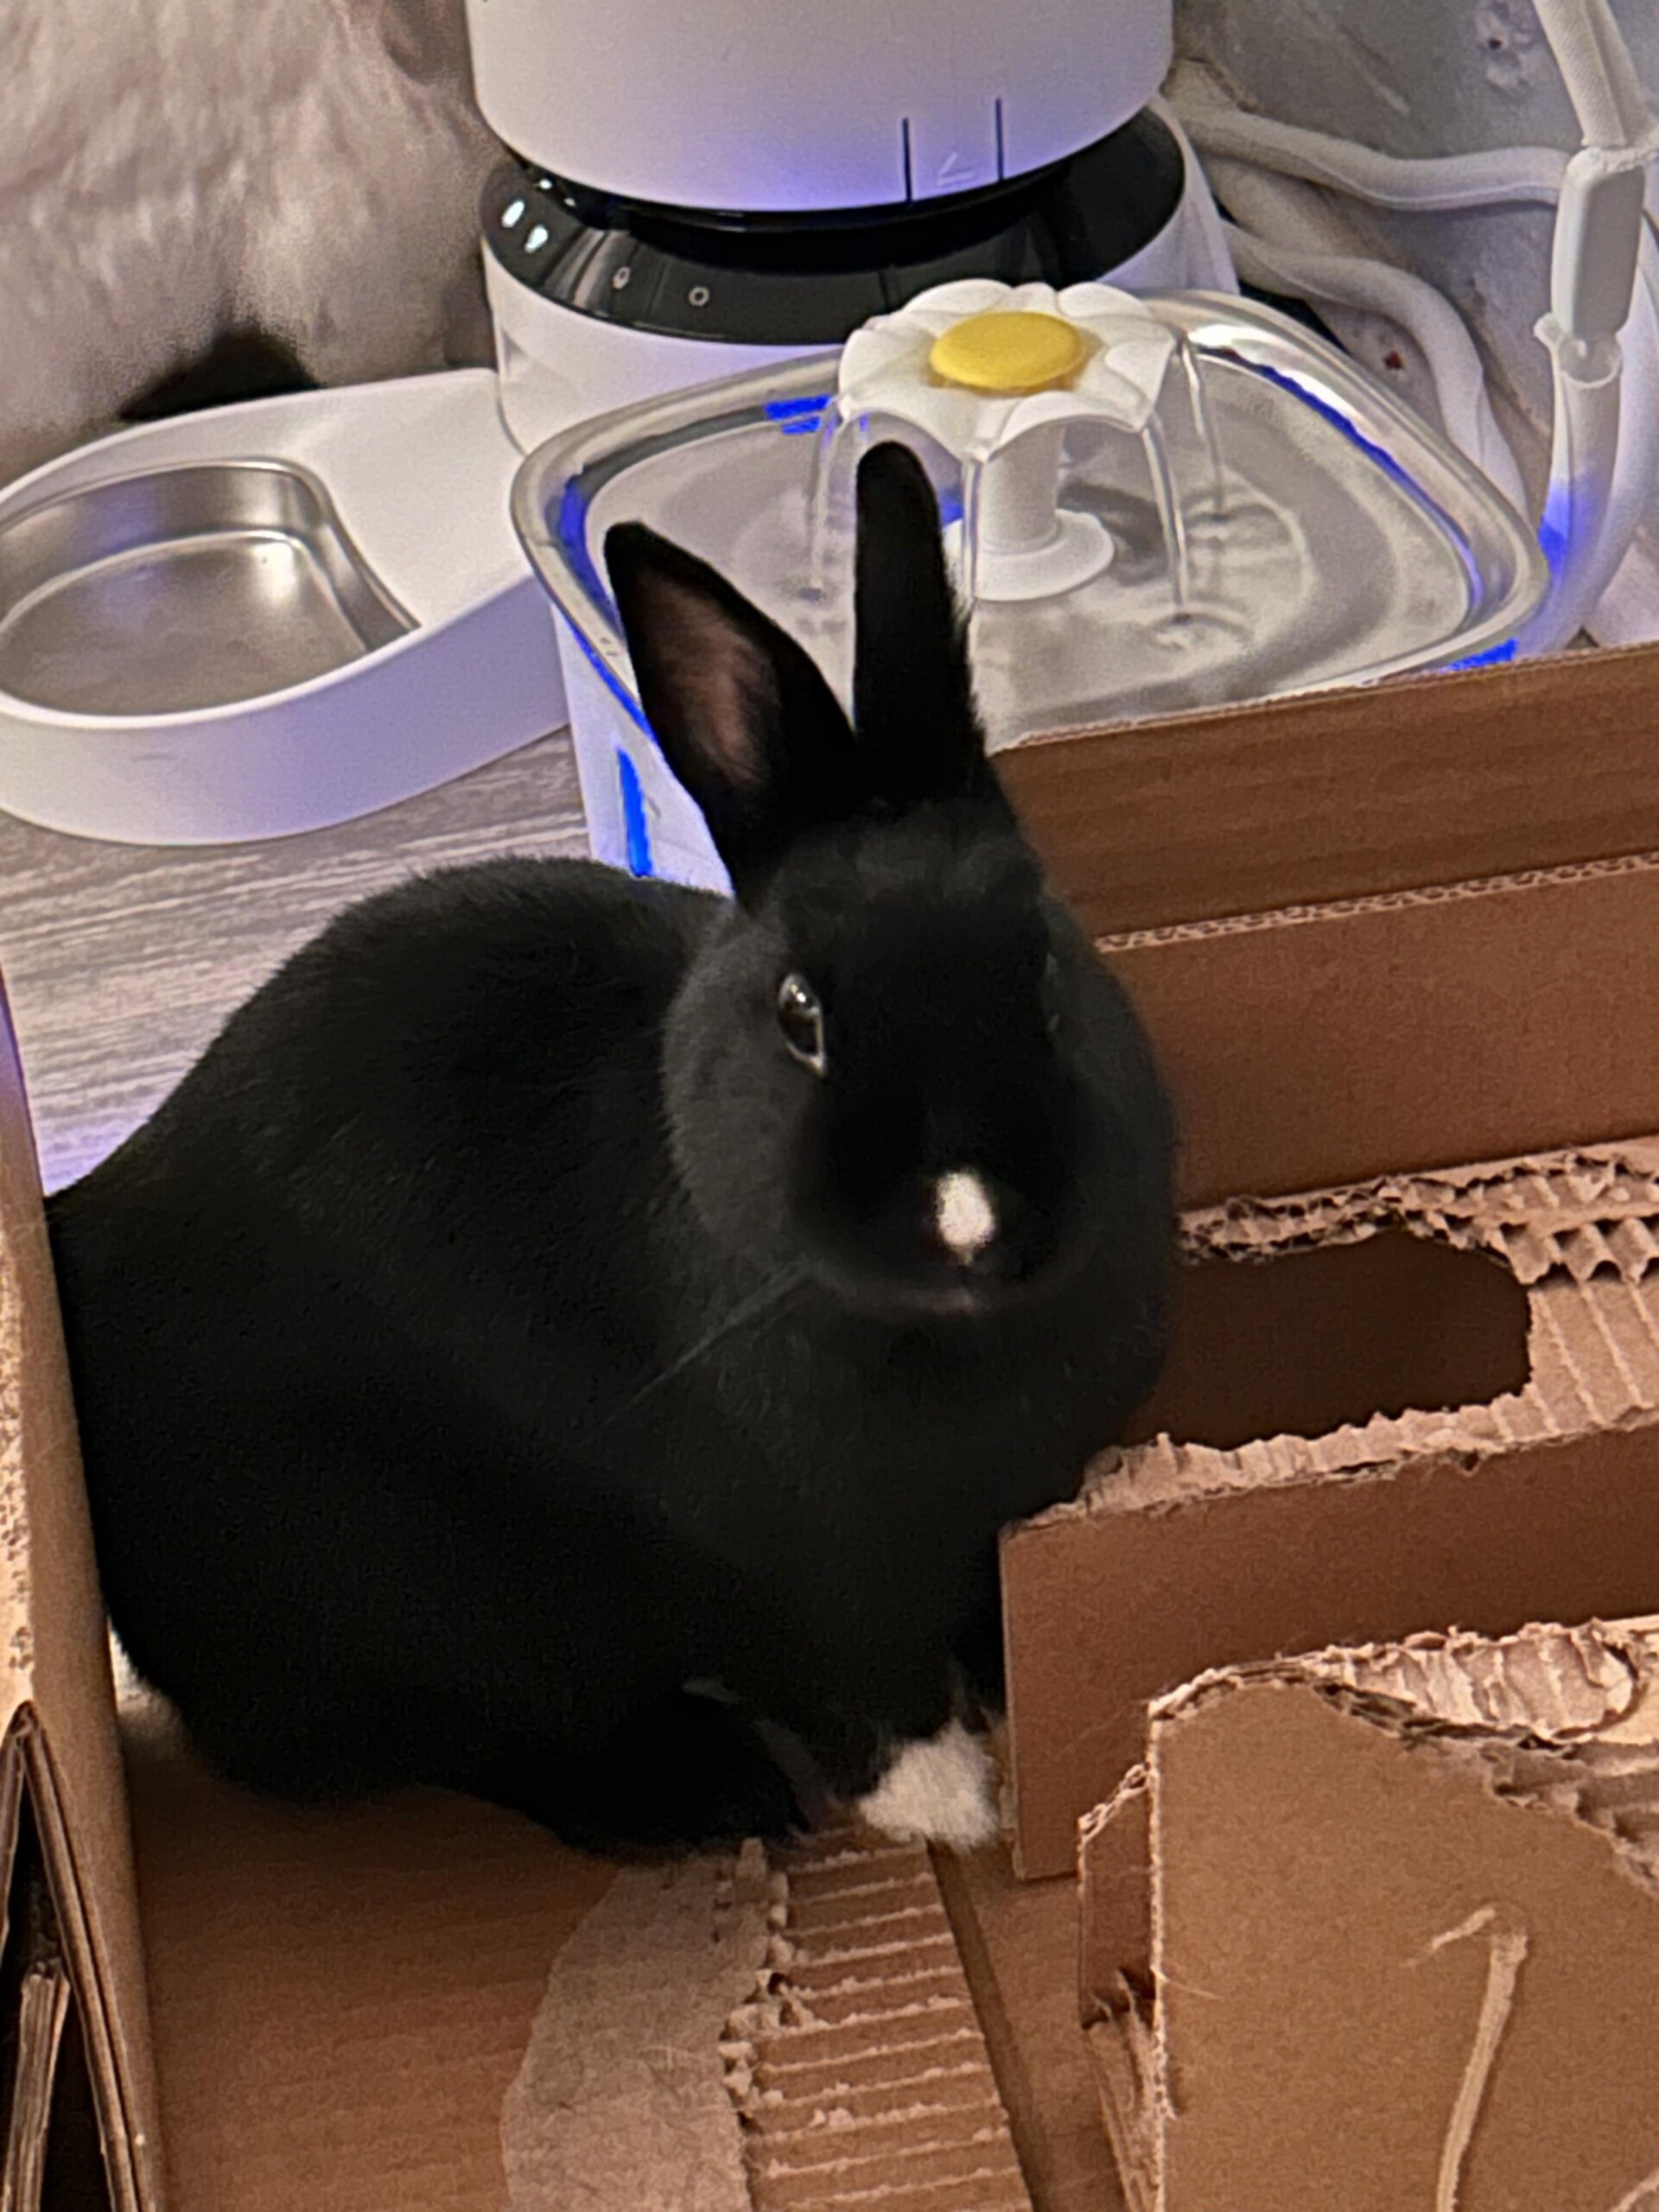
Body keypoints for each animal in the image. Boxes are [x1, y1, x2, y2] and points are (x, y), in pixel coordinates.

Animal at [47, 441, 1174, 1858]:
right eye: (801, 1015)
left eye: (1044, 962)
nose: (976, 1217)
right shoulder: (785, 1577)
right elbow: (860, 1687)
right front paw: (955, 1806)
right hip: (440, 1610)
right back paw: (709, 1791)